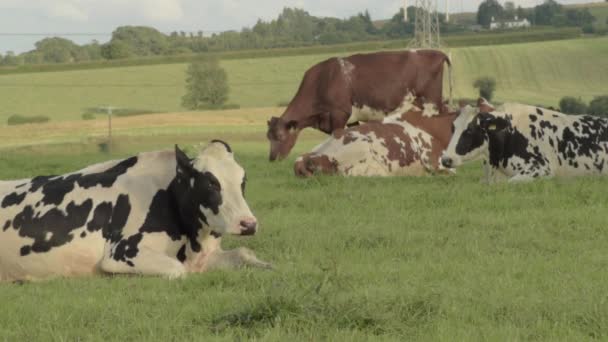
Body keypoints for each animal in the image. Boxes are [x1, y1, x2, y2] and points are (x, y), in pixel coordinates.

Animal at [0, 140, 270, 282]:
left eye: (243, 180)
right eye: (210, 183)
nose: (248, 224)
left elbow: (246, 254)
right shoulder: (122, 252)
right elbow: (176, 269)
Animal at [266, 48, 452, 161]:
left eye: (280, 136)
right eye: (268, 136)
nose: (272, 158)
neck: (323, 80)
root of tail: (436, 52)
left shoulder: (339, 114)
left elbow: (338, 137)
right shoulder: (351, 118)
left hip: (431, 102)